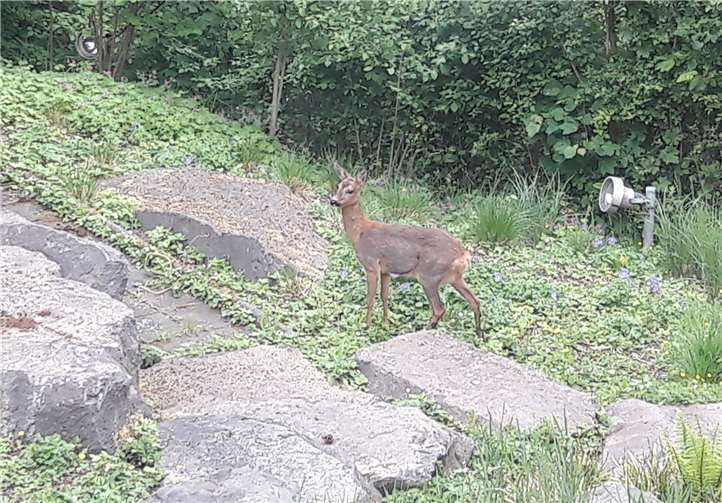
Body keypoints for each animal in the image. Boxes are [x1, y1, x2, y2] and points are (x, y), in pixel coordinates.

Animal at [329, 162, 482, 337]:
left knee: (439, 309)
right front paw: (385, 323)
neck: (359, 232)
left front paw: (367, 326)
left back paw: (425, 329)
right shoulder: (386, 270)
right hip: (455, 278)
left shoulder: (371, 264)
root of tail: (463, 255)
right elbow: (384, 296)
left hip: (429, 275)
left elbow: (370, 298)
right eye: (338, 186)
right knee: (475, 301)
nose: (333, 201)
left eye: (350, 190)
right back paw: (479, 335)